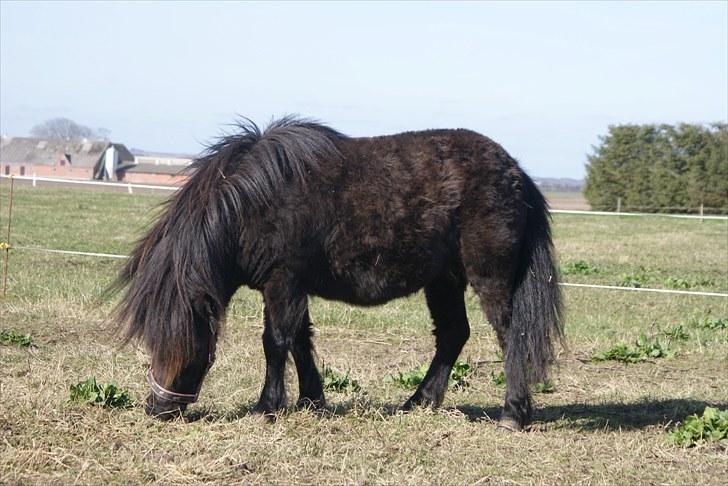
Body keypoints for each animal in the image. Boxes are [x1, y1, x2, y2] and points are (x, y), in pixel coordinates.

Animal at [116, 117, 564, 430]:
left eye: (179, 340)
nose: (157, 408)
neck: (255, 202)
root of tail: (517, 172)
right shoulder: (290, 287)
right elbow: (300, 341)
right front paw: (311, 401)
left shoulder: (282, 282)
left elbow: (275, 343)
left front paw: (266, 407)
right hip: (443, 280)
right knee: (453, 334)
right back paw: (418, 402)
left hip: (489, 277)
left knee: (512, 335)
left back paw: (513, 414)